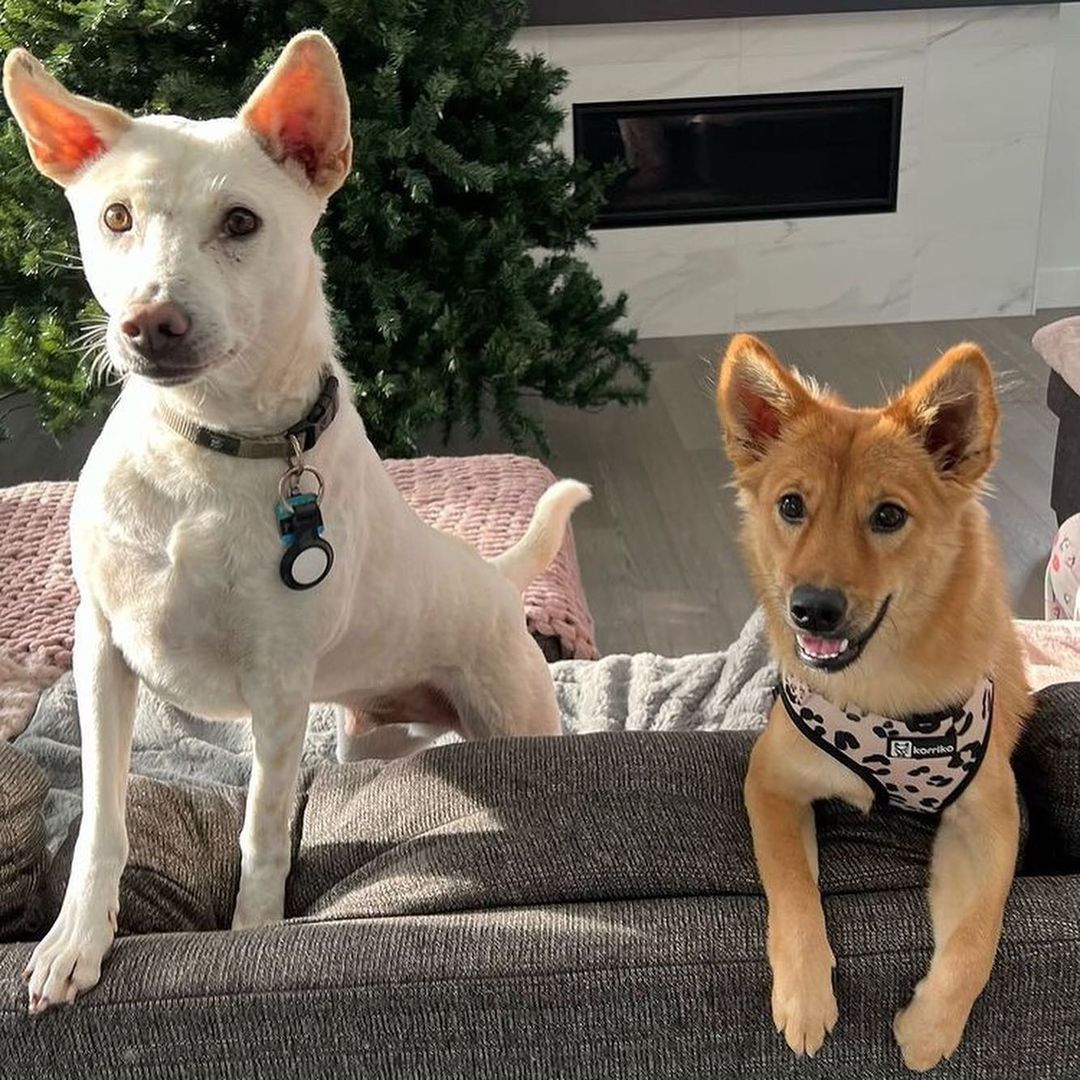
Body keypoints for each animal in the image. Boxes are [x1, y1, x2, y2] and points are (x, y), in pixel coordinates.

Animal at [2, 33, 591, 1010]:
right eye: (116, 217)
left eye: (241, 223)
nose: (149, 323)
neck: (209, 445)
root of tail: (488, 574)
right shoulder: (101, 655)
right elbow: (101, 821)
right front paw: (74, 942)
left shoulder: (277, 693)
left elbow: (264, 833)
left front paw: (252, 942)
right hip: (364, 732)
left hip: (510, 715)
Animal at [717, 334, 1028, 1071]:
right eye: (791, 506)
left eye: (887, 516)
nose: (812, 610)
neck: (881, 688)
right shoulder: (771, 782)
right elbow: (791, 888)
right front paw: (804, 997)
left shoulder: (993, 821)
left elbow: (978, 935)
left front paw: (931, 1029)